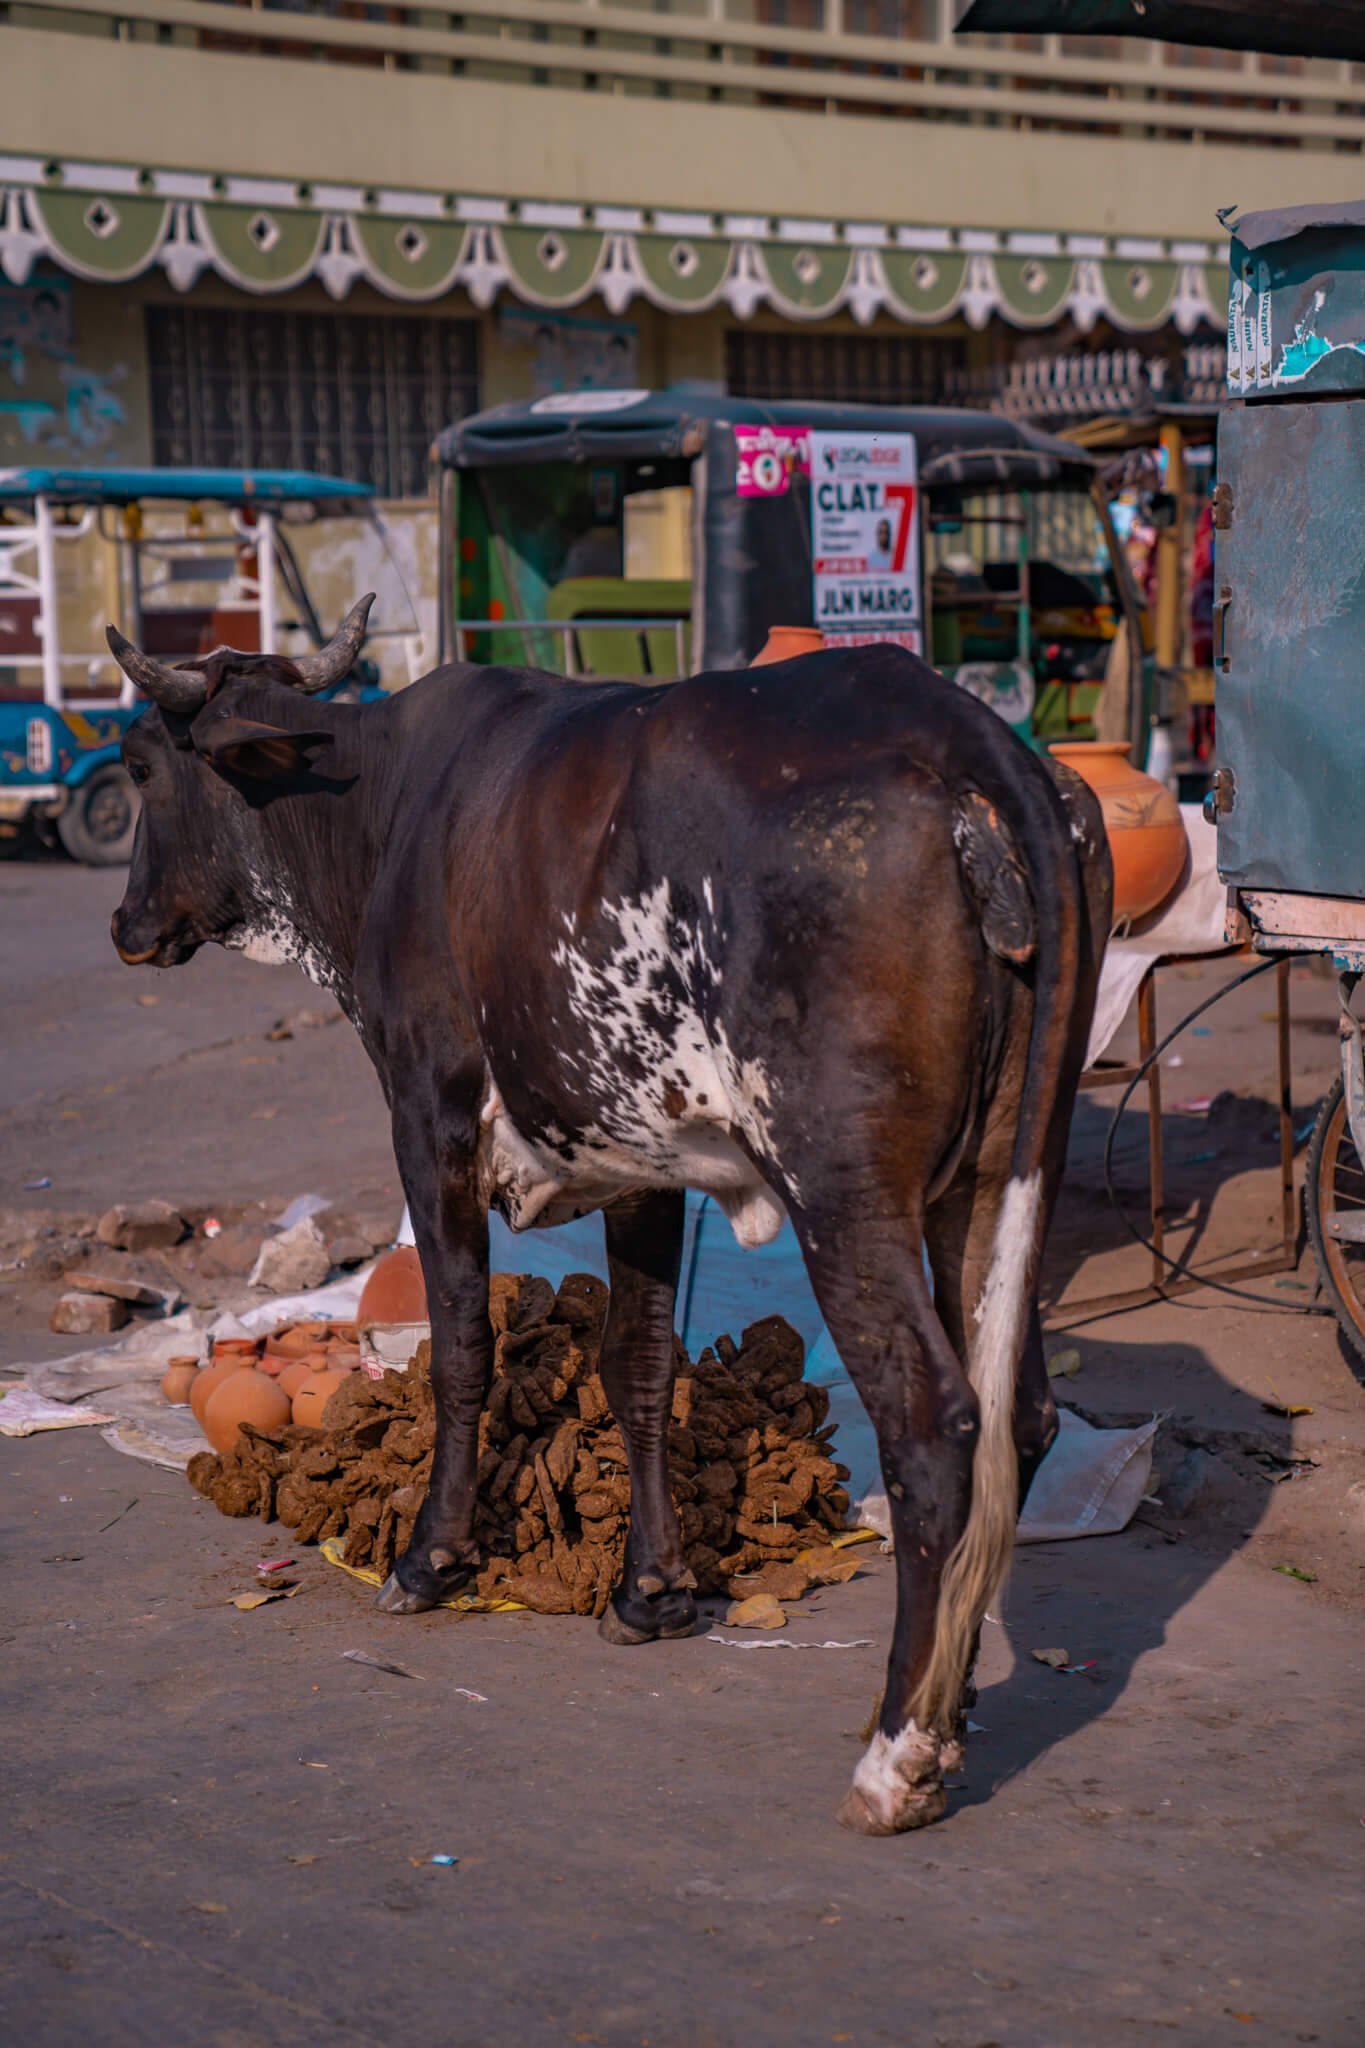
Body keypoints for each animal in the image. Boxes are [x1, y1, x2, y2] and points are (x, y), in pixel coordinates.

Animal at [109, 598, 1113, 1835]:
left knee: (935, 1422)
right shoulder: (641, 1158)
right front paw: (653, 1587)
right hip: (1000, 1170)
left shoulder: (426, 1108)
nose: (124, 920)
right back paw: (950, 1703)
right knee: (1021, 1414)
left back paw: (896, 1752)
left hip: (846, 1191)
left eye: (139, 766)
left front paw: (431, 1557)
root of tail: (964, 732)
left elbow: (461, 1342)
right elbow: (638, 1362)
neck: (377, 805)